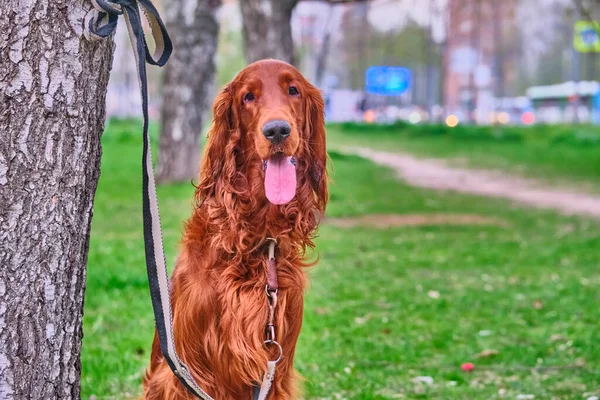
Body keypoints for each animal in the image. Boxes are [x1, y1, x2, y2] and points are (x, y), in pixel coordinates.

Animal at [144, 59, 328, 400]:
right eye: (248, 97)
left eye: (293, 90)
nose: (277, 130)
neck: (257, 237)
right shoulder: (185, 373)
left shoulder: (276, 370)